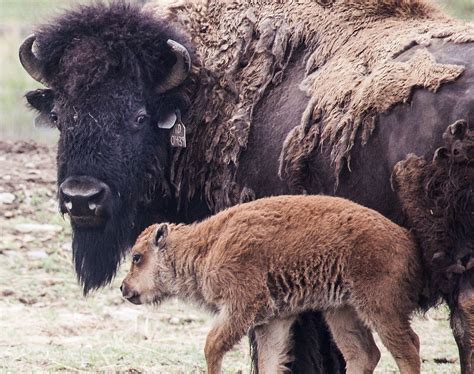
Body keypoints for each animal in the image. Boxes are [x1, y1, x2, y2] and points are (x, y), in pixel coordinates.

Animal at [121, 196, 422, 374]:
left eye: (137, 256)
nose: (124, 288)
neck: (208, 245)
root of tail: (405, 238)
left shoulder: (240, 307)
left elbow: (212, 346)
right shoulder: (273, 320)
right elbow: (269, 360)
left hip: (380, 308)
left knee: (408, 349)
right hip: (341, 310)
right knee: (363, 353)